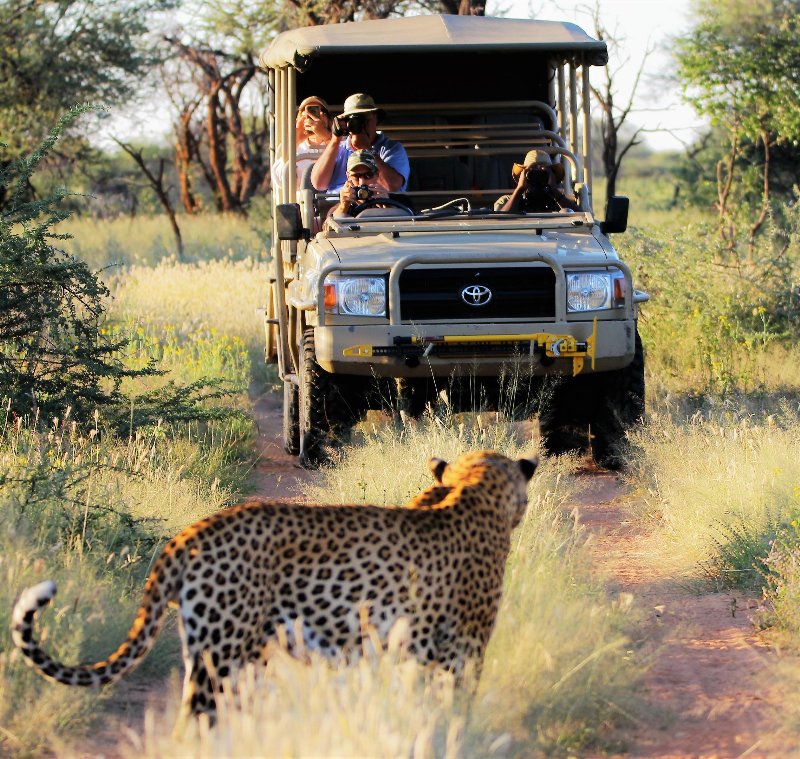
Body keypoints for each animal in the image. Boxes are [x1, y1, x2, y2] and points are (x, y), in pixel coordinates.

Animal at [10, 452, 536, 724]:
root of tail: (191, 532)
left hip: (232, 655)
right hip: (221, 656)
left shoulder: (415, 656)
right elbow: (457, 709)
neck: (474, 492)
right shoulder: (464, 651)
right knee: (194, 724)